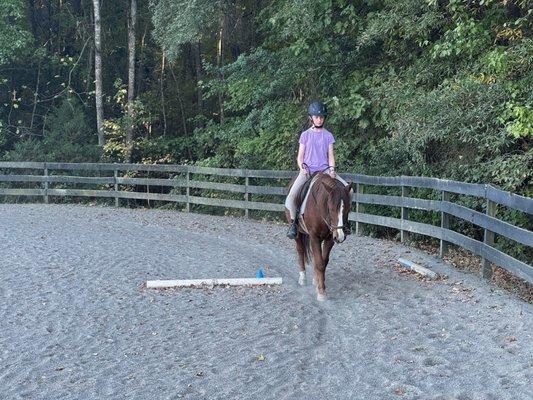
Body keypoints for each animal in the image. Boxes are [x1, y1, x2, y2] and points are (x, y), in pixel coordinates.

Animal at [284, 173, 352, 302]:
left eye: (347, 209)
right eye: (330, 208)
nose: (340, 236)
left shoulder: (330, 239)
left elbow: (322, 262)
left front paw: (319, 284)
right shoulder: (314, 237)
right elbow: (319, 263)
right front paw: (321, 292)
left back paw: (315, 280)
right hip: (298, 234)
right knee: (300, 251)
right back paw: (302, 278)